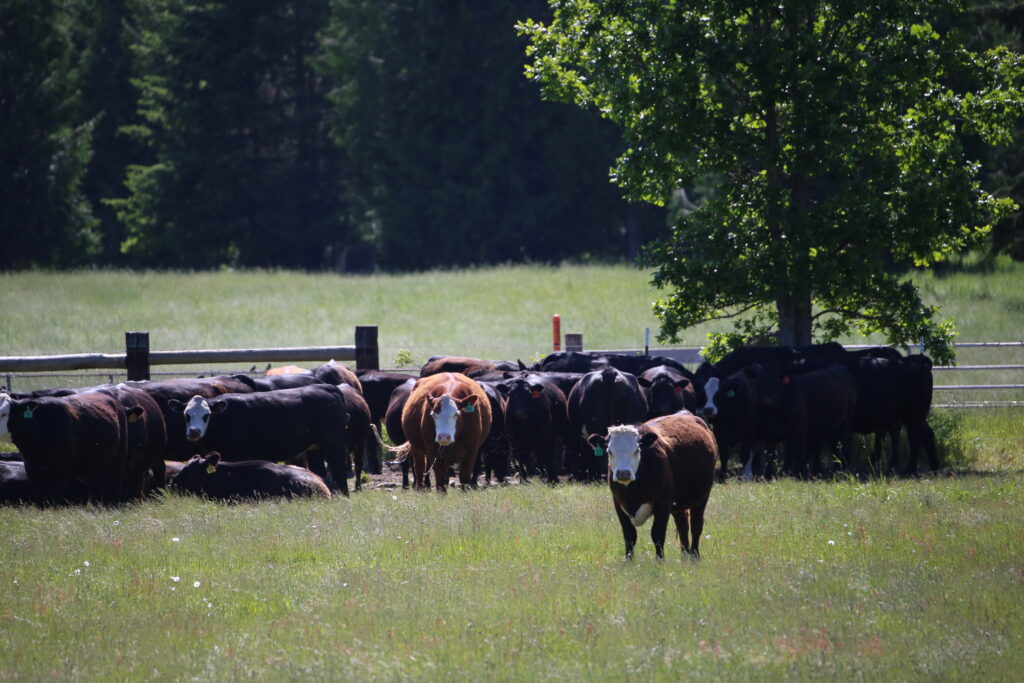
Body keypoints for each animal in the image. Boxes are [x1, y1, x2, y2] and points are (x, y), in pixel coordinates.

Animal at [167, 383, 352, 495]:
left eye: (206, 415)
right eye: (186, 415)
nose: (194, 431)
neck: (222, 419)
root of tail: (327, 387)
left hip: (334, 443)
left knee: (340, 471)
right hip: (316, 448)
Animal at [588, 411, 717, 559]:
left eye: (637, 450)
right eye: (609, 451)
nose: (623, 473)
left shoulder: (663, 504)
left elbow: (657, 534)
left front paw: (660, 560)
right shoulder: (618, 504)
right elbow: (629, 535)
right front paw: (628, 560)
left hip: (702, 497)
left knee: (696, 526)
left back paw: (694, 556)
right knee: (683, 526)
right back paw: (685, 557)